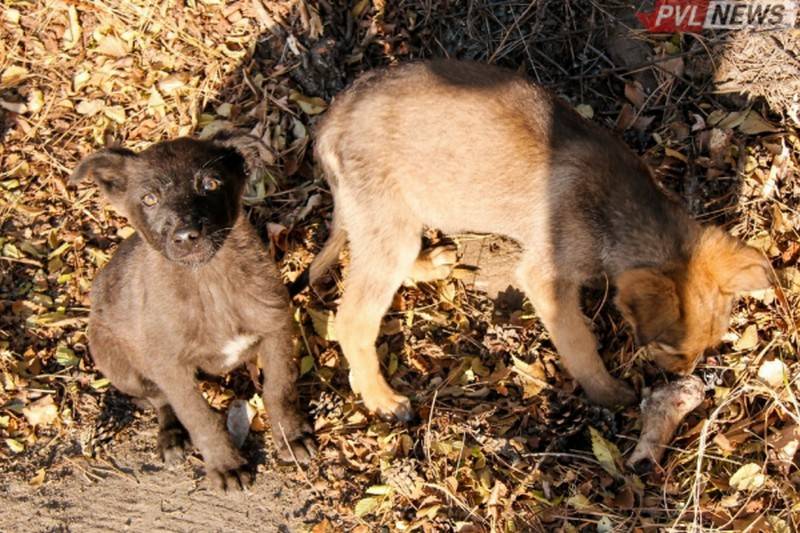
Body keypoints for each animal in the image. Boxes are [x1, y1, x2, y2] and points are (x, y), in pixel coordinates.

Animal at [72, 131, 314, 488]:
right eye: (149, 199)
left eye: (211, 184)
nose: (187, 236)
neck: (208, 282)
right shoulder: (172, 369)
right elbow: (200, 418)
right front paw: (226, 464)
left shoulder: (276, 328)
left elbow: (279, 388)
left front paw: (292, 436)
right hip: (116, 362)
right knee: (160, 400)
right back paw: (171, 436)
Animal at [304, 60, 768, 418]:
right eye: (673, 349)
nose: (680, 378)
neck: (620, 212)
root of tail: (332, 119)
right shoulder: (546, 280)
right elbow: (580, 344)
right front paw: (607, 393)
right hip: (388, 223)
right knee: (352, 319)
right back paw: (381, 398)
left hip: (404, 213)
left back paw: (430, 264)